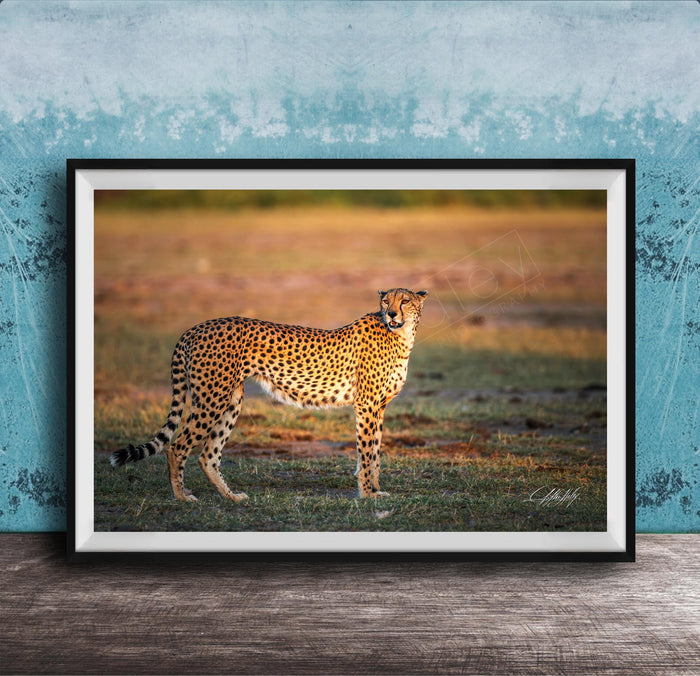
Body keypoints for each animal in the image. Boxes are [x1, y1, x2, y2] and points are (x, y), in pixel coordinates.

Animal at [111, 288, 428, 501]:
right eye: (386, 301)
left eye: (405, 300)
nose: (391, 313)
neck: (401, 336)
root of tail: (194, 328)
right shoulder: (366, 405)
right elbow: (367, 451)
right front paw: (368, 494)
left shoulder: (379, 407)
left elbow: (375, 452)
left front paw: (375, 489)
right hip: (212, 398)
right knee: (177, 446)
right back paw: (182, 497)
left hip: (231, 400)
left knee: (208, 454)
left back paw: (231, 497)